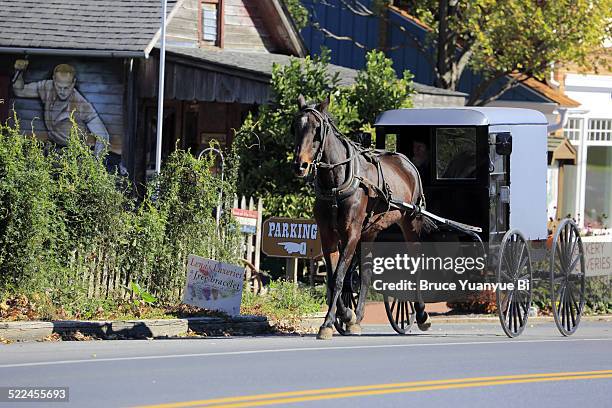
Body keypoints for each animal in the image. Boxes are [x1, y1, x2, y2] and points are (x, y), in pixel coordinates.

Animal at [292, 95, 430, 338]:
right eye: (295, 127)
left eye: (317, 129)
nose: (300, 165)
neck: (336, 183)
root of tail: (406, 162)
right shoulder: (328, 235)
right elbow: (334, 279)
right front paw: (346, 316)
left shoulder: (351, 233)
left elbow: (339, 277)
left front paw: (329, 323)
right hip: (371, 231)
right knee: (365, 273)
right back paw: (358, 317)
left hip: (410, 222)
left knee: (414, 262)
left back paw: (421, 313)